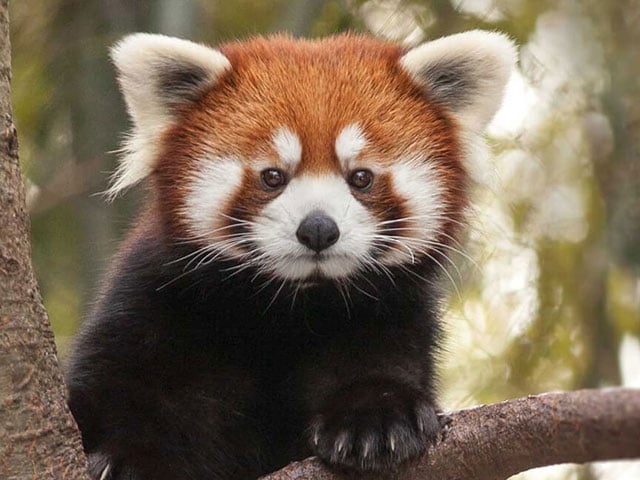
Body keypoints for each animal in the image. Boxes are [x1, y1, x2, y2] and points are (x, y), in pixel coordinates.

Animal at [65, 31, 516, 478]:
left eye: (361, 178)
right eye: (272, 177)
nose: (318, 229)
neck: (289, 307)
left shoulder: (390, 317)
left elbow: (380, 362)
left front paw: (375, 421)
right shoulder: (152, 304)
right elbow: (121, 382)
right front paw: (134, 457)